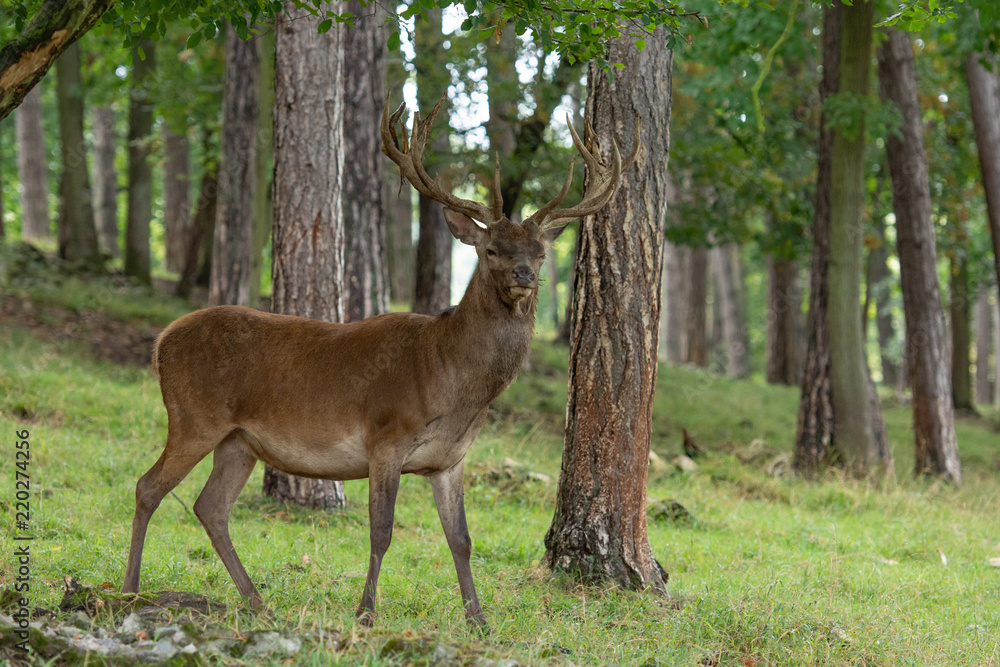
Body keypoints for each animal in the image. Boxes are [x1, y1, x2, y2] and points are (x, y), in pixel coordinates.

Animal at [121, 91, 640, 630]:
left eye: (539, 252)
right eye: (493, 248)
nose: (524, 275)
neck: (453, 383)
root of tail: (162, 342)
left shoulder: (450, 459)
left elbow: (461, 540)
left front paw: (477, 619)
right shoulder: (385, 437)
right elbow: (382, 530)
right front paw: (366, 611)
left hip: (239, 440)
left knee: (211, 507)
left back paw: (257, 601)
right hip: (194, 416)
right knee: (148, 487)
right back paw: (130, 589)